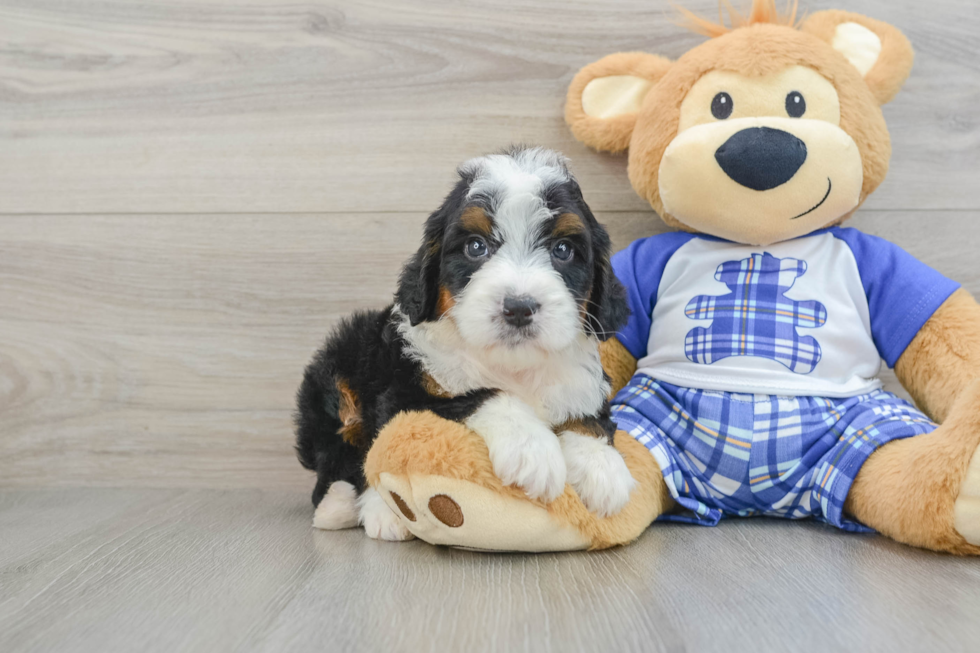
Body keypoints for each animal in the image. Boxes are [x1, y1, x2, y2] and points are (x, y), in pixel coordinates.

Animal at [294, 148, 636, 540]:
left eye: (563, 249)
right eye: (476, 247)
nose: (518, 307)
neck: (513, 366)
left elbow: (589, 418)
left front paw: (602, 467)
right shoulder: (407, 392)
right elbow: (479, 394)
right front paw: (532, 449)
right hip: (339, 370)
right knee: (346, 455)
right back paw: (354, 508)